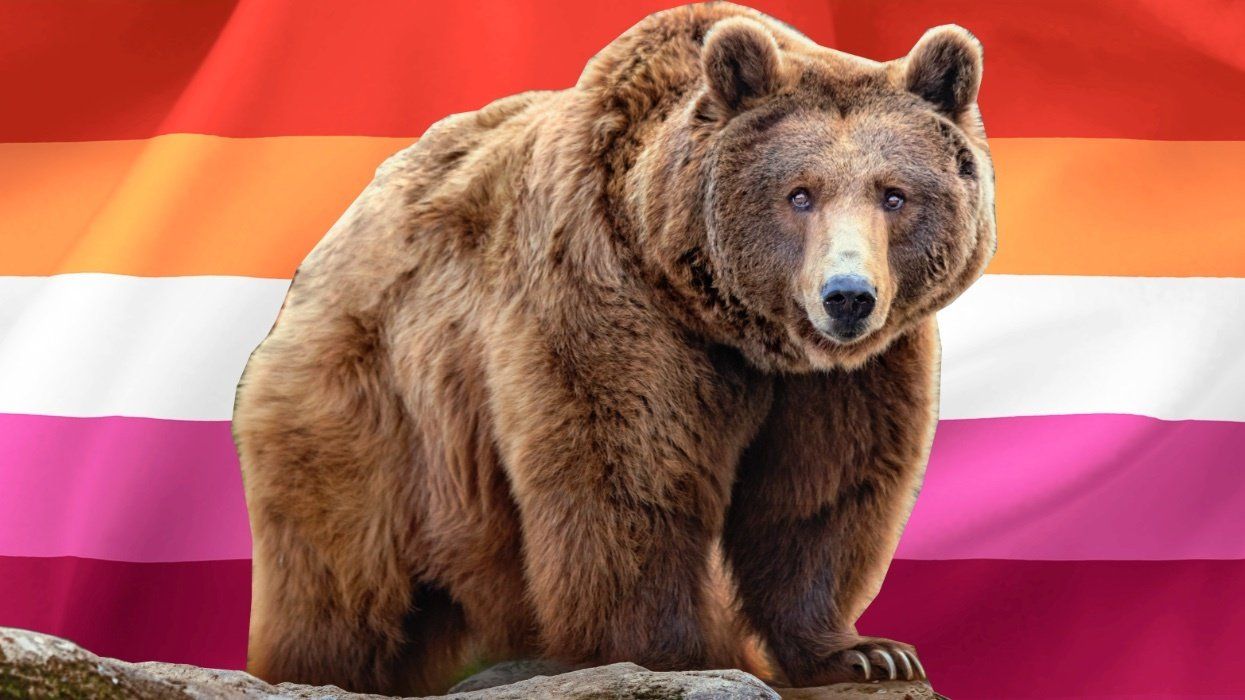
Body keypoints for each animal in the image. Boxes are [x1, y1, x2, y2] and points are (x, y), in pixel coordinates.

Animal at [233, 2, 996, 695]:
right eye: (798, 194)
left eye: (894, 195)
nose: (847, 295)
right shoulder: (608, 298)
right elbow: (627, 477)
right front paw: (677, 653)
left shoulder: (850, 375)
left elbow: (821, 494)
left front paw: (864, 652)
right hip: (371, 406)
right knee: (342, 574)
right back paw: (310, 669)